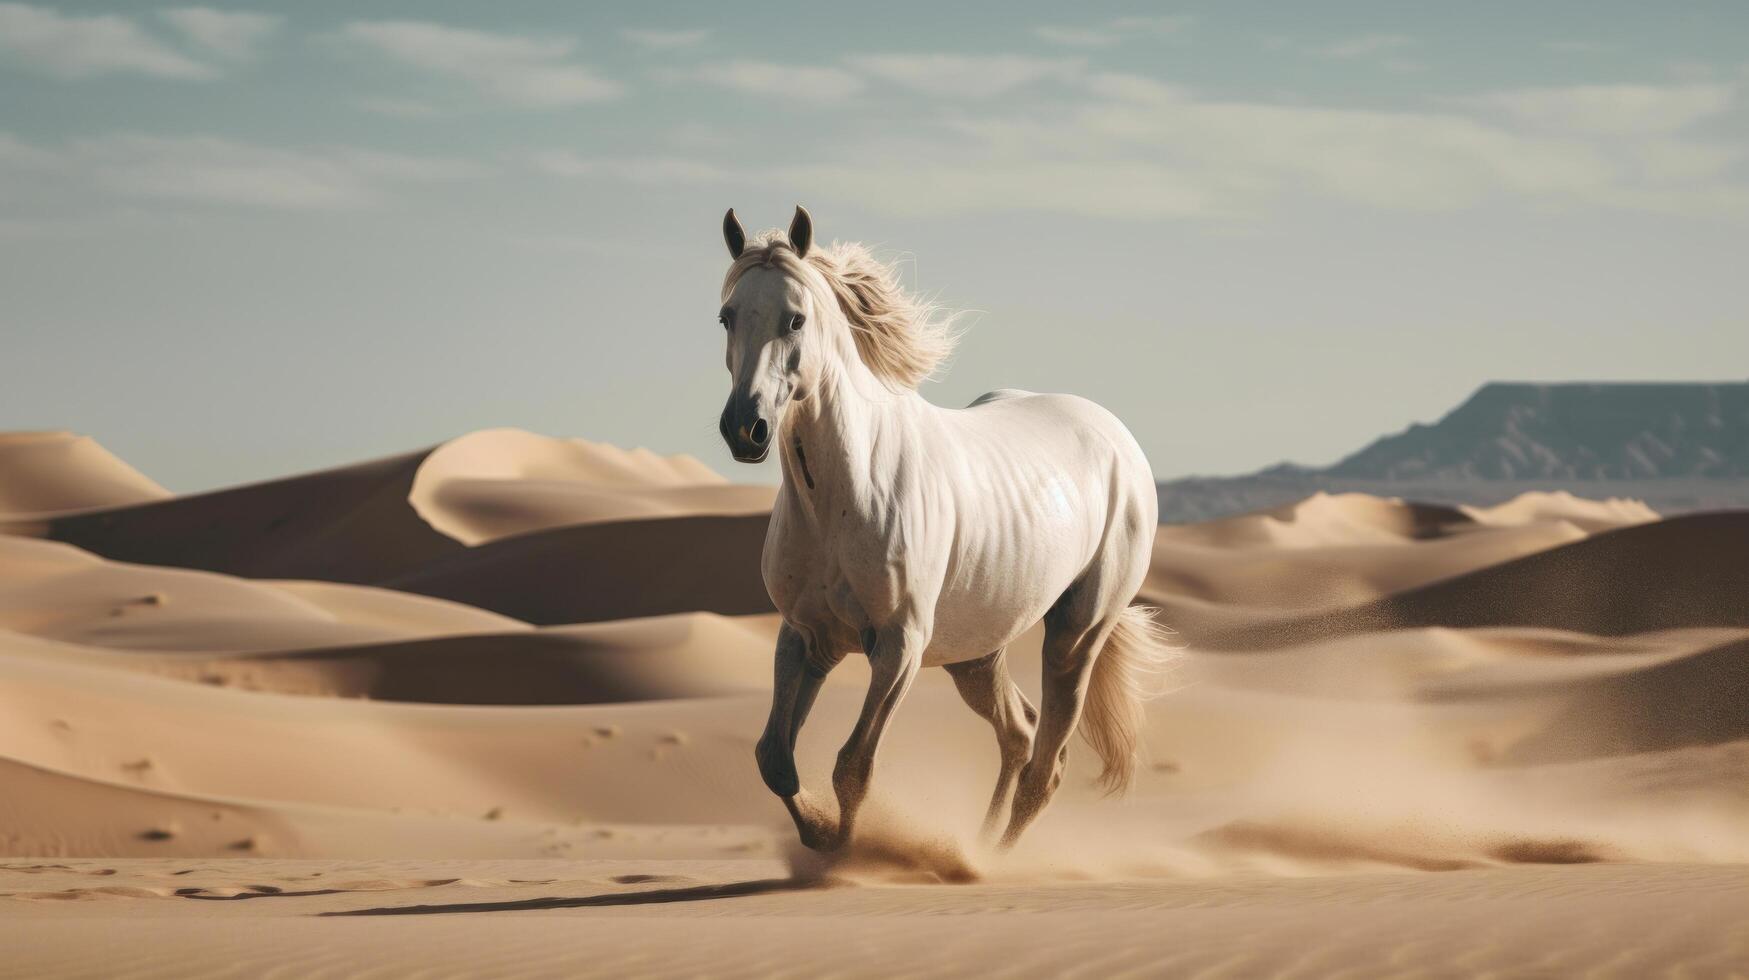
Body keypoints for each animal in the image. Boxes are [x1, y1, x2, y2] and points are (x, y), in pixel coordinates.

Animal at [717, 206, 1168, 850]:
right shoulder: (806, 636)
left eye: (795, 318)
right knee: (1019, 733)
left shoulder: (899, 645)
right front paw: (820, 839)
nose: (744, 428)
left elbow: (853, 767)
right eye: (727, 316)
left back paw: (987, 861)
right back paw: (977, 844)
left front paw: (844, 854)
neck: (843, 496)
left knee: (1046, 766)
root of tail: (1118, 437)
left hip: (1075, 636)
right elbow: (774, 758)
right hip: (974, 655)